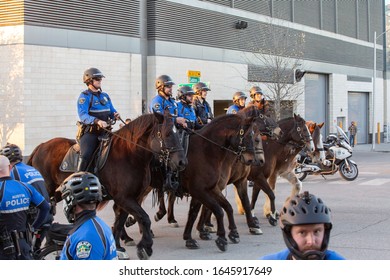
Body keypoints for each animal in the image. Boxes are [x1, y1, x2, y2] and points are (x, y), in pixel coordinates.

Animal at [27, 110, 186, 260]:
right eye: (167, 134)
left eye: (179, 133)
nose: (182, 162)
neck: (130, 154)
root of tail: (40, 147)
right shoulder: (124, 198)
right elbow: (144, 218)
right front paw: (144, 247)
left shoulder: (130, 198)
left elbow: (120, 222)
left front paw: (118, 247)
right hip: (47, 192)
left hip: (58, 193)